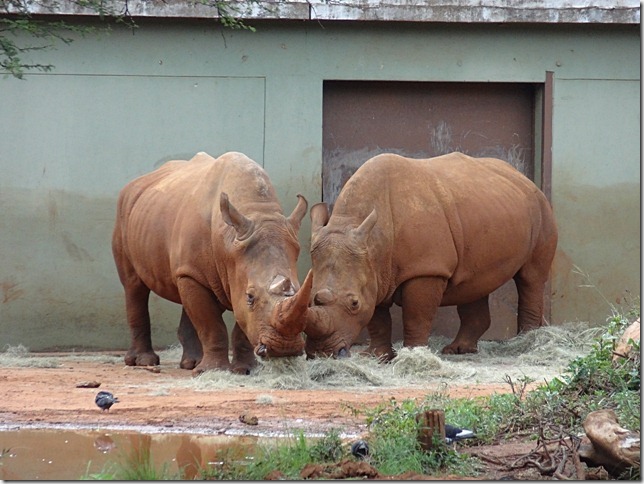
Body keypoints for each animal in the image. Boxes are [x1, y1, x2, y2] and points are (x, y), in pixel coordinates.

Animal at [112, 151, 313, 375]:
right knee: (134, 286)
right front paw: (212, 371)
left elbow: (239, 324)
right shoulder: (215, 272)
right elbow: (212, 325)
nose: (285, 348)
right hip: (124, 214)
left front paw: (245, 370)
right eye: (250, 297)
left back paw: (190, 363)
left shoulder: (234, 272)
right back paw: (144, 361)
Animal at [304, 152, 558, 361]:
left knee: (531, 278)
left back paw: (527, 344)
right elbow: (377, 317)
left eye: (353, 303)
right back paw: (458, 350)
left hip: (541, 208)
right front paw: (376, 356)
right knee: (475, 281)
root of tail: (524, 178)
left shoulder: (427, 269)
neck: (374, 241)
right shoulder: (375, 271)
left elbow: (417, 315)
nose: (321, 353)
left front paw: (413, 354)